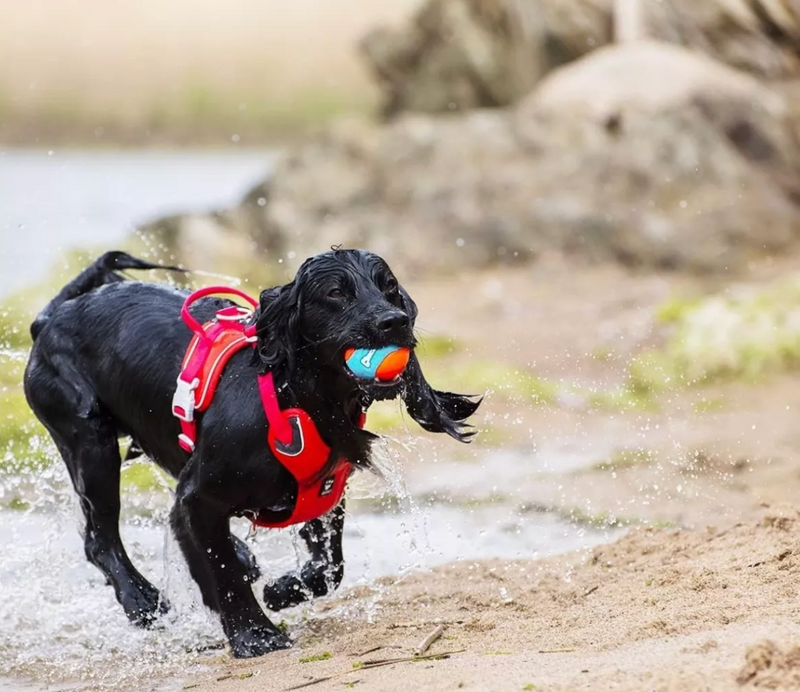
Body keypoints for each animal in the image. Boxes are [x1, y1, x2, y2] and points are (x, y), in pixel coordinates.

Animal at [21, 247, 478, 656]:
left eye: (389, 287)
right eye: (336, 293)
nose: (393, 321)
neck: (296, 396)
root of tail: (50, 318)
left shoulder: (324, 491)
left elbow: (328, 568)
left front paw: (281, 590)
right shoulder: (199, 496)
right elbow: (223, 570)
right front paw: (254, 635)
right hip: (90, 442)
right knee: (100, 539)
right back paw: (141, 600)